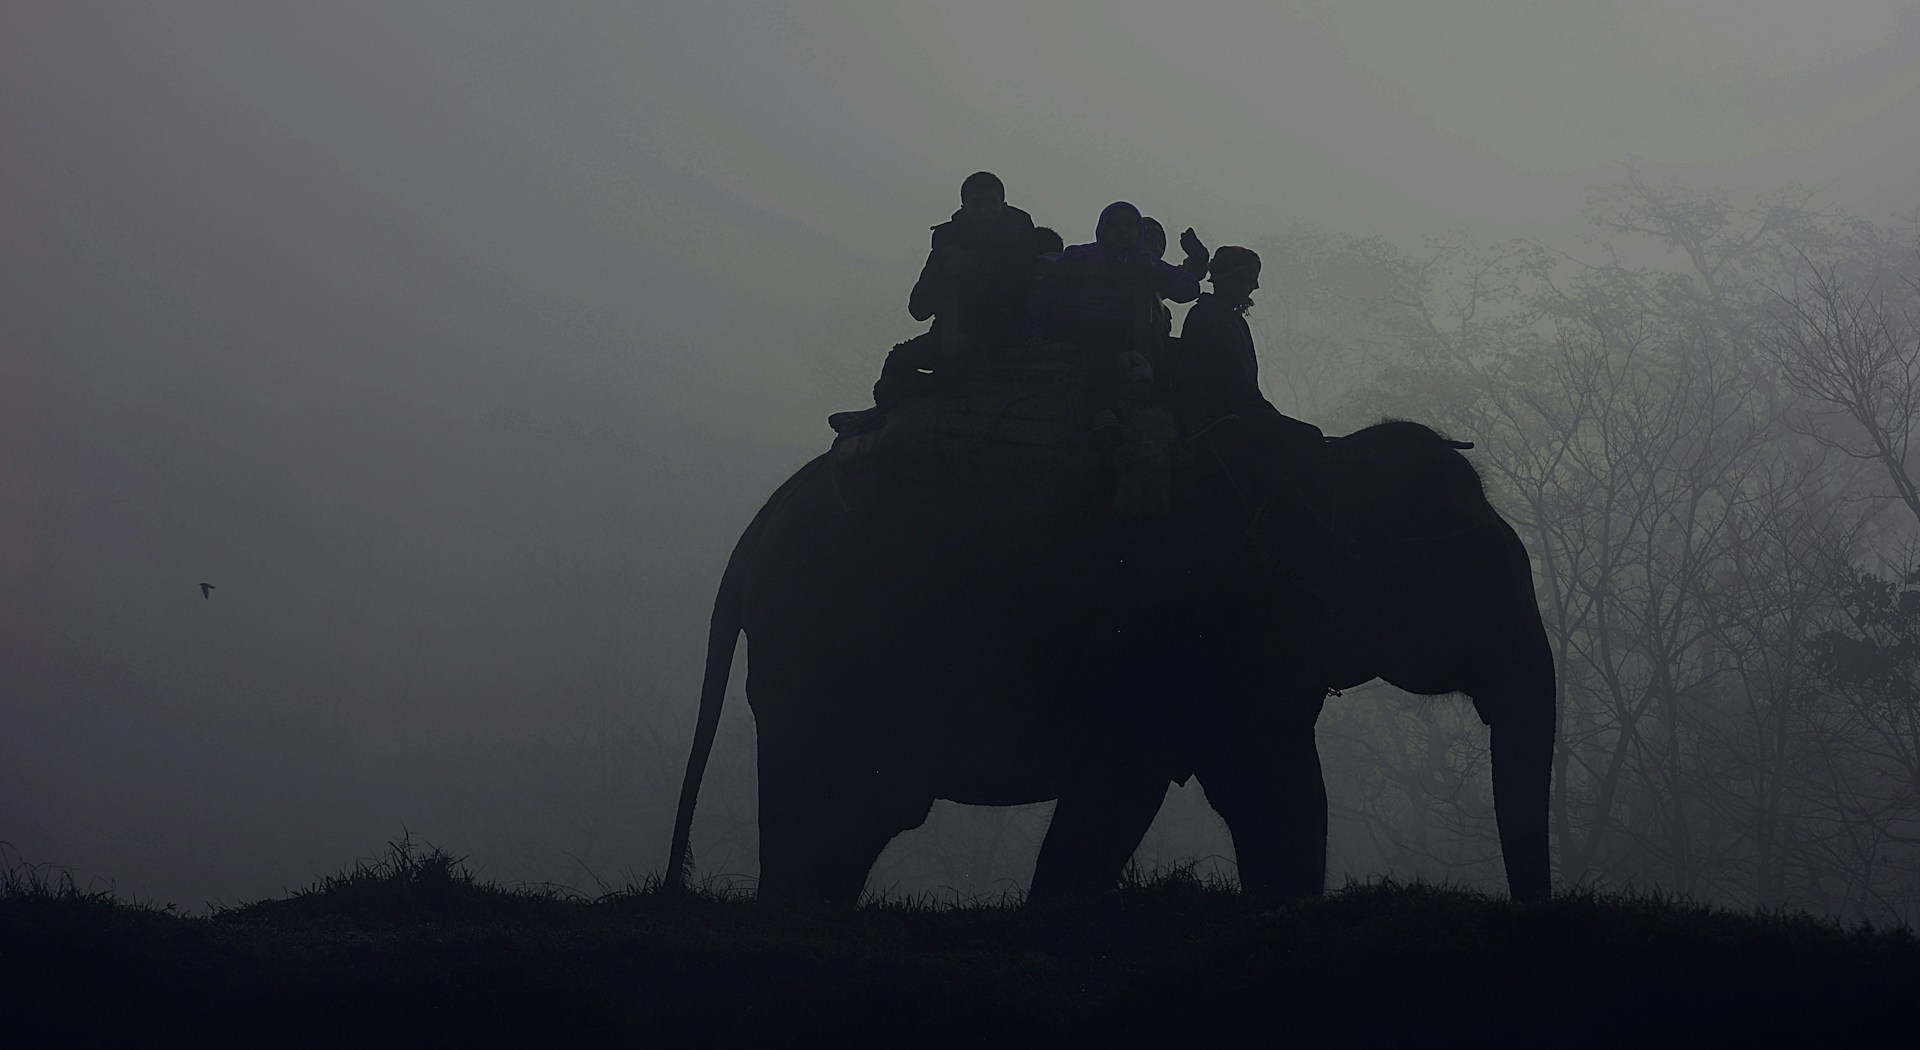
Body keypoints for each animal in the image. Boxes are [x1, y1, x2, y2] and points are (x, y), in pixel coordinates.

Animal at [665, 417, 1556, 905]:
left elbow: (1277, 794)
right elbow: (1139, 794)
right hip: (825, 653)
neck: (1324, 459)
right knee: (831, 810)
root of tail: (758, 528)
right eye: (1478, 570)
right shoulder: (1180, 640)